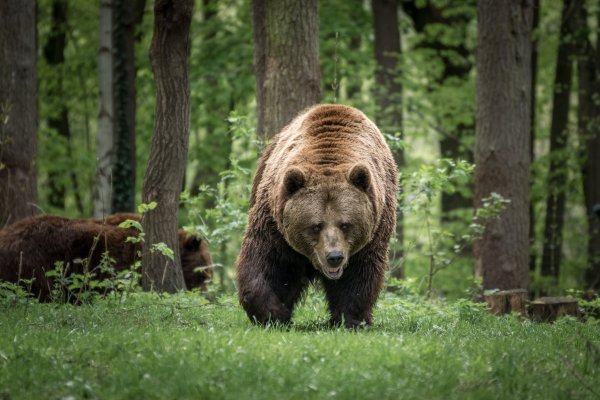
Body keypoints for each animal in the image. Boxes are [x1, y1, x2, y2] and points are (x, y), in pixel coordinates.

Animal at [236, 104, 398, 326]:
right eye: (315, 225)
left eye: (345, 224)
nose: (334, 257)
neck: (329, 158)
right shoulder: (275, 225)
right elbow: (266, 262)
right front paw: (273, 313)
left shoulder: (375, 229)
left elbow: (360, 275)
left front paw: (350, 318)